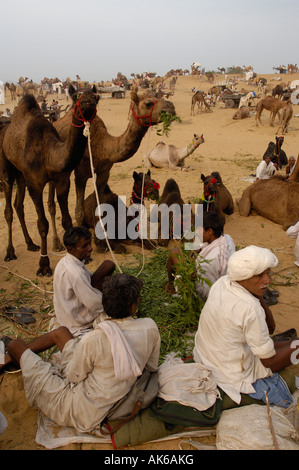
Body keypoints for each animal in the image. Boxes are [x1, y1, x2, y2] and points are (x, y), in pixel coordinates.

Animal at [1, 85, 99, 276]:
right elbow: (42, 225)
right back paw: (10, 252)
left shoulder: (62, 181)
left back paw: (30, 244)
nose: (88, 101)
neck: (49, 154)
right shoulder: (35, 185)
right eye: (77, 96)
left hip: (21, 173)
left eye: (96, 97)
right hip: (7, 167)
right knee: (8, 207)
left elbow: (67, 220)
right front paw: (44, 265)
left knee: (18, 205)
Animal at [47, 90, 176, 252]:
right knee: (51, 204)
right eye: (148, 103)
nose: (171, 108)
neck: (103, 147)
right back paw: (56, 243)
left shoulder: (104, 172)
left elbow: (99, 206)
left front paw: (101, 240)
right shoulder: (80, 174)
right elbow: (79, 211)